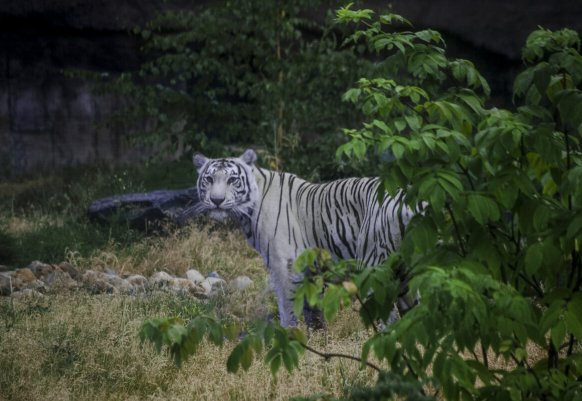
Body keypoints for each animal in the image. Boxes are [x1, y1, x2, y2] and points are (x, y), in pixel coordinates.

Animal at [187, 148, 416, 326]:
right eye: (209, 179)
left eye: (232, 180)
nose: (216, 200)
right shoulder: (311, 271)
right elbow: (313, 313)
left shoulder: (284, 267)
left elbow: (287, 309)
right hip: (407, 275)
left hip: (373, 268)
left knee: (390, 320)